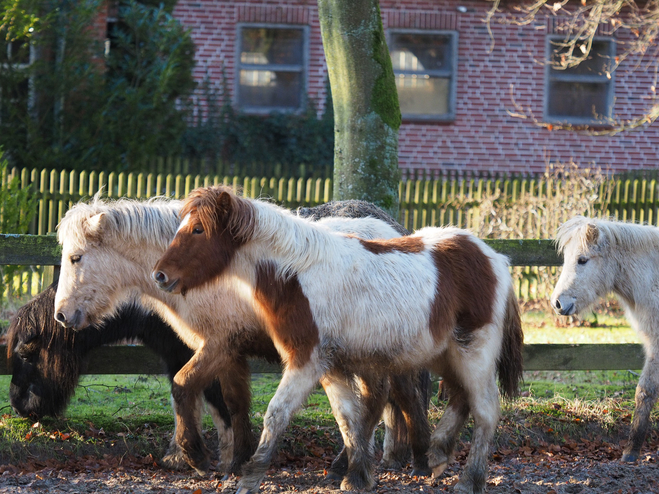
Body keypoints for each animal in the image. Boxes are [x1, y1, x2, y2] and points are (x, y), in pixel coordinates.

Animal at [7, 282, 235, 470]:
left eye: (25, 355)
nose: (18, 407)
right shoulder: (176, 354)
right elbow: (184, 398)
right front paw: (180, 456)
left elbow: (217, 402)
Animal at [152, 185, 524, 494]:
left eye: (198, 229)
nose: (160, 275)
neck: (297, 275)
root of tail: (494, 258)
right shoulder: (331, 367)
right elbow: (348, 419)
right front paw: (356, 477)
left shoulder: (306, 361)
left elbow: (276, 414)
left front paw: (249, 477)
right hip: (444, 355)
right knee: (459, 398)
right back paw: (435, 455)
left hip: (473, 353)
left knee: (486, 409)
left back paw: (469, 479)